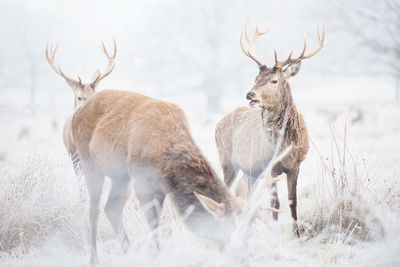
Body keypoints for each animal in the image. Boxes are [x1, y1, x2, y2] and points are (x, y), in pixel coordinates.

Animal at [216, 19, 324, 236]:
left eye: (274, 80)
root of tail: (218, 122)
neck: (284, 145)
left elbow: (293, 201)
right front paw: (274, 233)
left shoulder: (296, 165)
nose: (250, 95)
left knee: (247, 198)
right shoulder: (270, 165)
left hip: (250, 171)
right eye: (255, 79)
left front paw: (297, 235)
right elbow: (275, 203)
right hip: (227, 160)